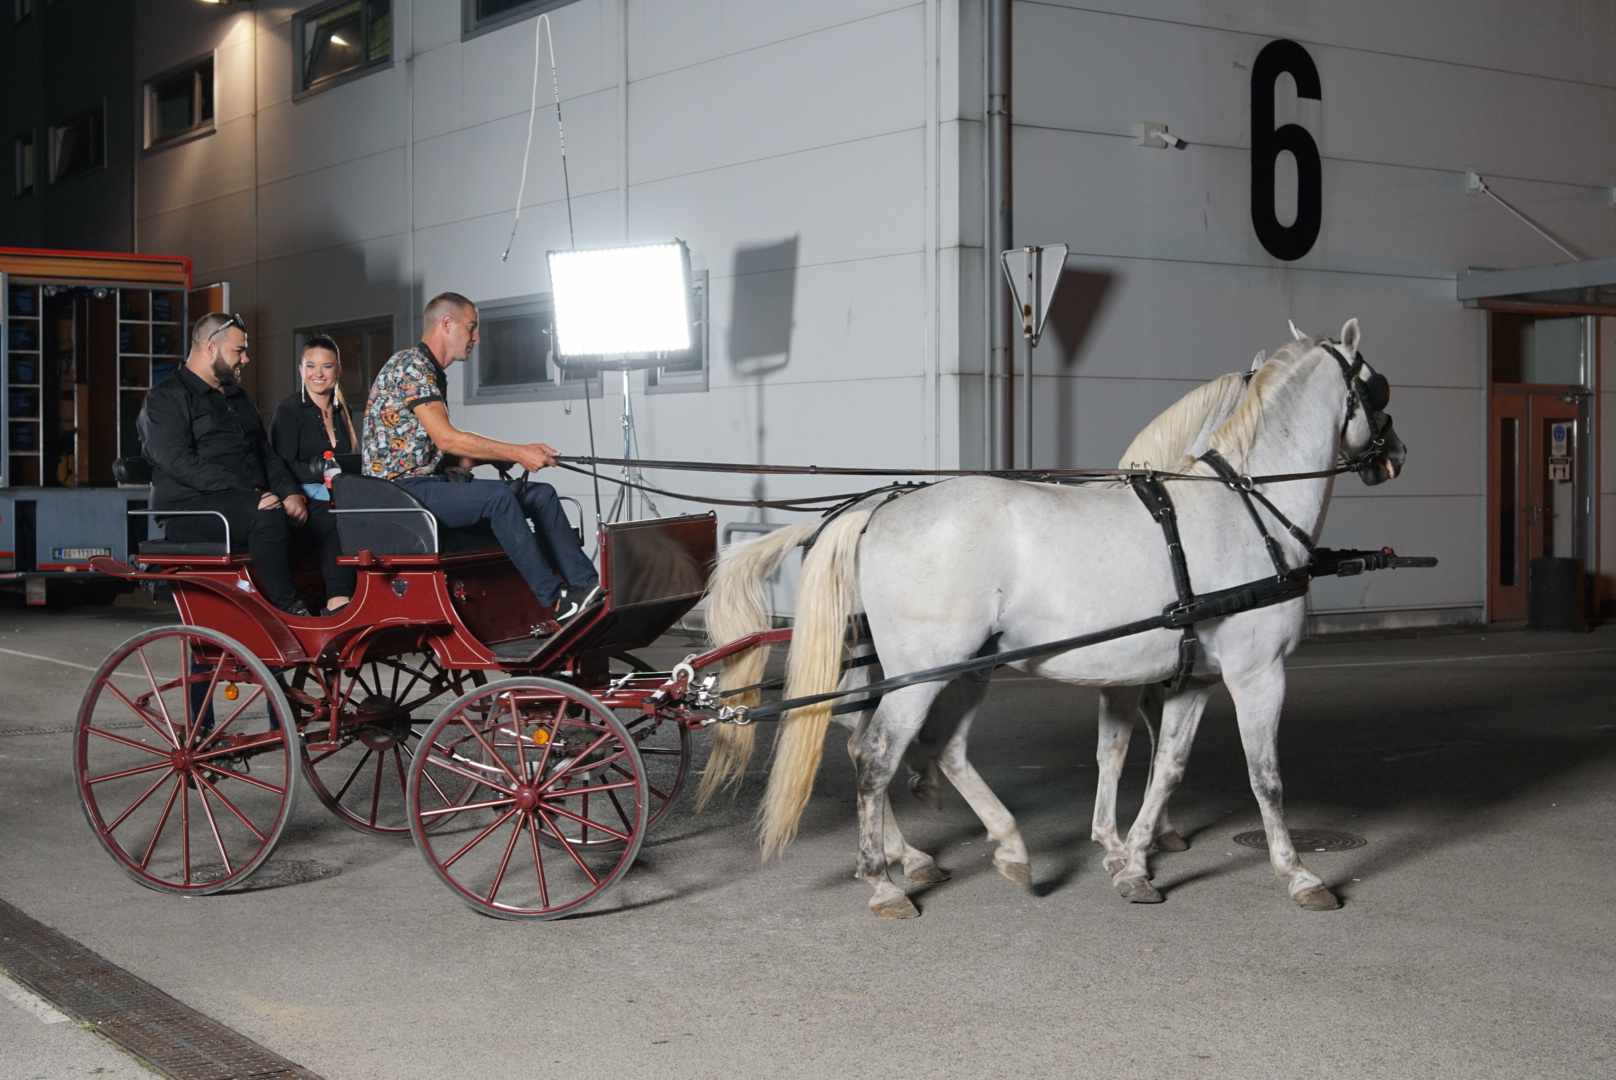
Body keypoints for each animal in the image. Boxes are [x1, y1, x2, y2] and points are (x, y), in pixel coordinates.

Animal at [733, 320, 1402, 918]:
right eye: (1379, 388)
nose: (1393, 455)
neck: (1247, 507)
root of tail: (876, 510)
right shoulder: (1257, 674)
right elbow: (1265, 778)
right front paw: (1297, 874)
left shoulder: (1194, 679)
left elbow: (1163, 769)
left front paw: (1133, 861)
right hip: (921, 674)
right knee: (876, 757)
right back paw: (885, 880)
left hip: (961, 668)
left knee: (938, 748)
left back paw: (1002, 850)